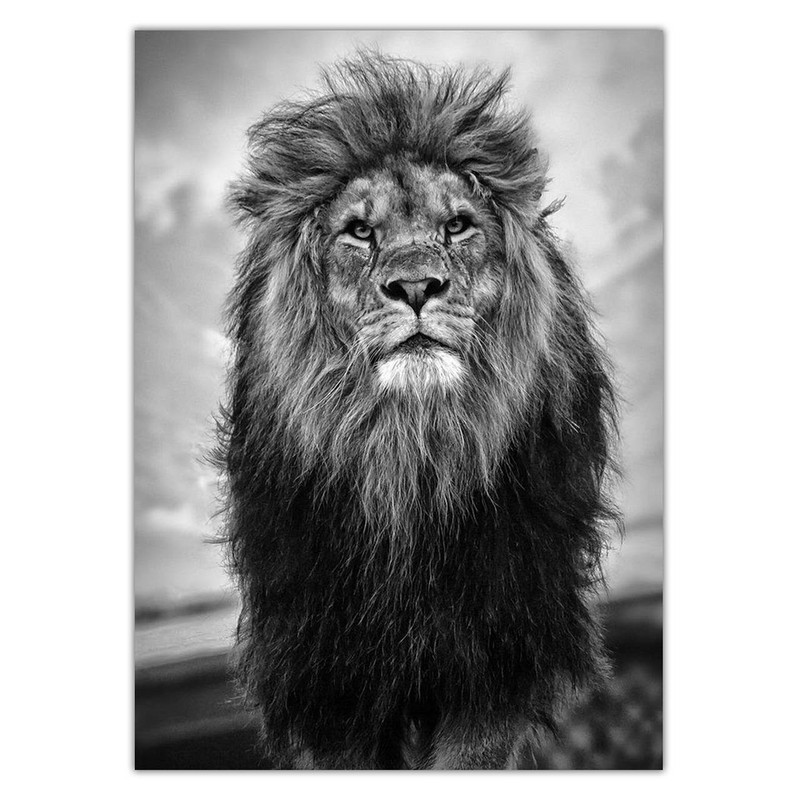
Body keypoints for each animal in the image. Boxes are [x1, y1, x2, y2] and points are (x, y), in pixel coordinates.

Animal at [215, 53, 619, 769]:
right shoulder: (327, 678)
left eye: (456, 225)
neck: (411, 457)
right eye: (360, 232)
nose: (414, 286)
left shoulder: (497, 664)